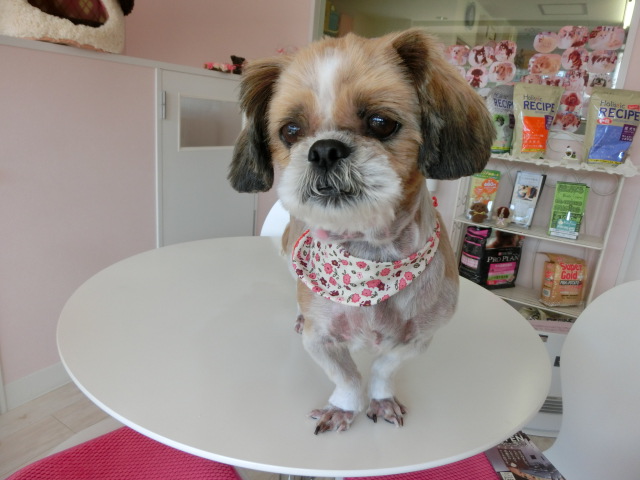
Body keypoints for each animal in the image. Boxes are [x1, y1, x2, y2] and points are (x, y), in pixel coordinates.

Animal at [228, 29, 495, 434]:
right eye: (290, 131)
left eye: (380, 122)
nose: (324, 149)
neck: (371, 260)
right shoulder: (319, 338)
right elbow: (347, 376)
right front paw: (344, 407)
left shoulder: (421, 337)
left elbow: (385, 367)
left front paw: (381, 399)